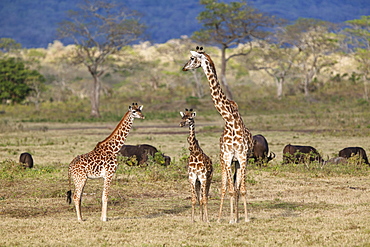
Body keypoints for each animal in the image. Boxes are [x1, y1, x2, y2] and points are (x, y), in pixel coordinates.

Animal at [183, 46, 254, 224]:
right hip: (226, 162)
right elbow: (230, 189)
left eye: (192, 58)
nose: (184, 67)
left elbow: (242, 189)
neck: (229, 119)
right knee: (227, 187)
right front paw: (231, 219)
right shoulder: (228, 156)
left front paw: (245, 218)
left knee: (237, 187)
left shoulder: (242, 156)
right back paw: (226, 217)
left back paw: (237, 216)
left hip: (238, 162)